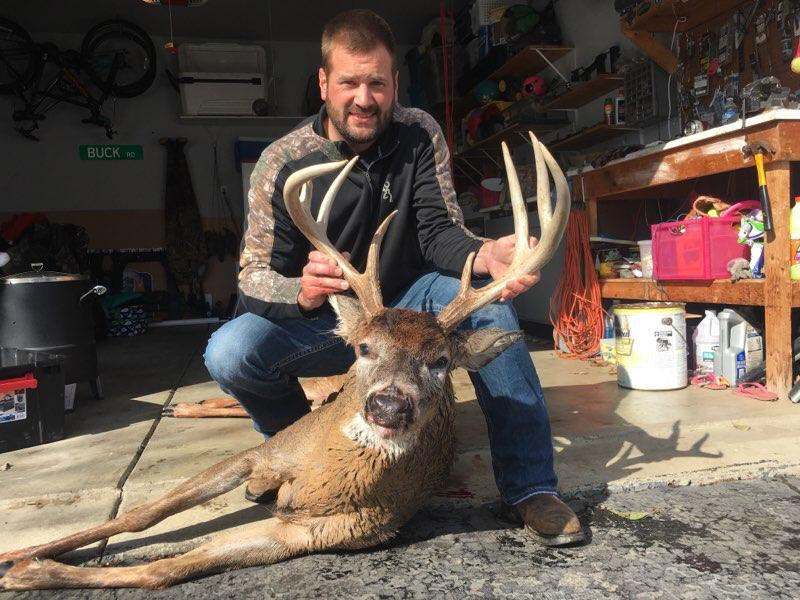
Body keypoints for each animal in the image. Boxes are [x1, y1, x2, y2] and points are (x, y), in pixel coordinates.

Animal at [0, 132, 569, 590]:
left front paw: (28, 572)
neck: (323, 476)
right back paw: (179, 412)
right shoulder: (267, 450)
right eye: (365, 348)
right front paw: (21, 551)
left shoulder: (316, 531)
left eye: (442, 362)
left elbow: (166, 569)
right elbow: (140, 514)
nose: (388, 406)